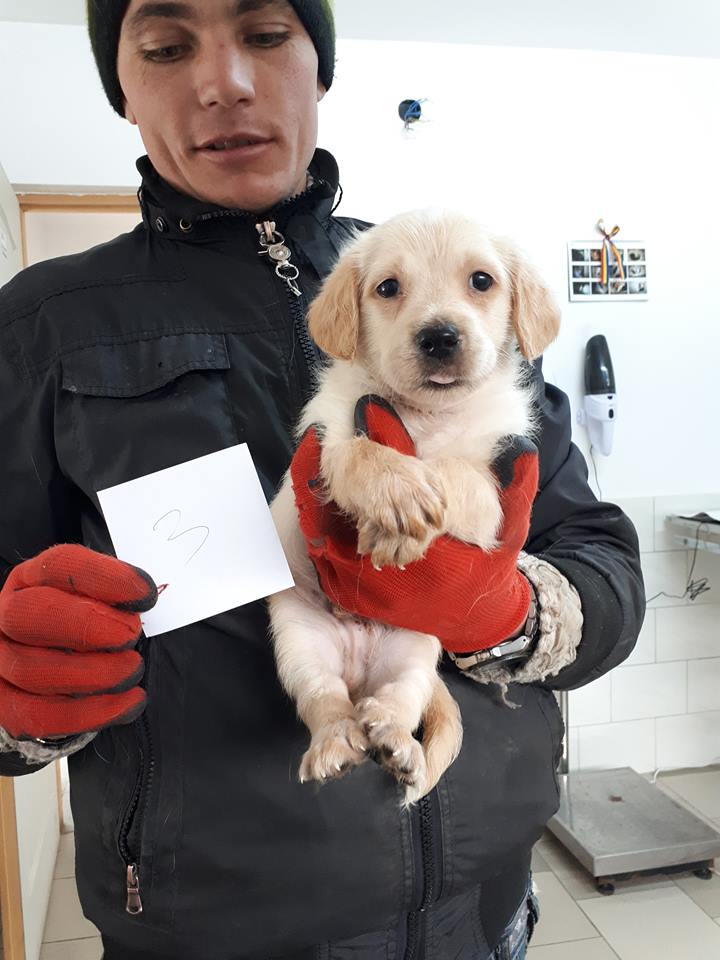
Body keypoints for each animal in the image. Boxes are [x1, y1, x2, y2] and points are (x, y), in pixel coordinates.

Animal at [268, 210, 560, 804]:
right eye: (388, 288)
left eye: (481, 281)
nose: (439, 336)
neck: (426, 416)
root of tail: (359, 664)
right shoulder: (328, 437)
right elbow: (360, 452)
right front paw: (396, 495)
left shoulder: (492, 486)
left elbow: (452, 473)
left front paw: (402, 516)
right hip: (300, 643)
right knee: (327, 701)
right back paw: (336, 746)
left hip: (415, 652)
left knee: (400, 702)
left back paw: (394, 741)